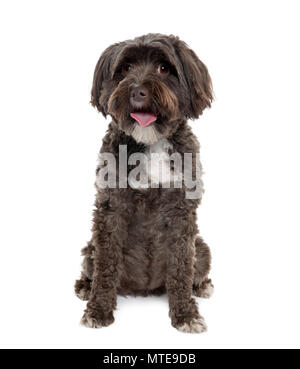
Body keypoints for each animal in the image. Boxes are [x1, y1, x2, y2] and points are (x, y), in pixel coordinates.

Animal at [75, 33, 213, 334]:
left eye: (164, 68)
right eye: (125, 69)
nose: (137, 90)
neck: (151, 142)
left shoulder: (181, 212)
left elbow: (181, 267)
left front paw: (185, 314)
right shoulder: (111, 209)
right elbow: (106, 266)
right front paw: (98, 309)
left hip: (202, 249)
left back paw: (201, 286)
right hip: (90, 248)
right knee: (93, 266)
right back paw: (84, 286)